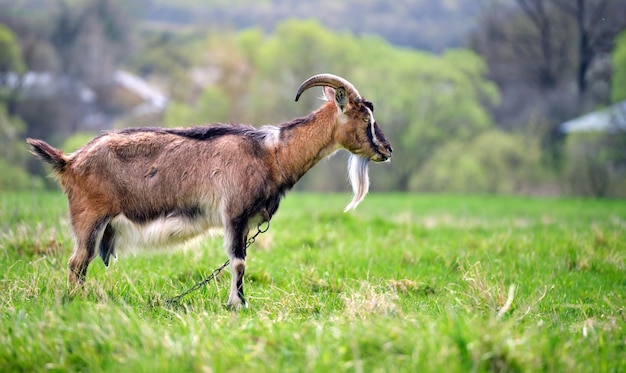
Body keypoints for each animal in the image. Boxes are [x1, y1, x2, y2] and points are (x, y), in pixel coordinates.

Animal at [29, 73, 392, 308]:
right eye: (366, 118)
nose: (387, 150)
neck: (271, 153)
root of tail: (69, 161)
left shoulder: (242, 220)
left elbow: (238, 260)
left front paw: (237, 302)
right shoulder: (234, 213)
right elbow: (238, 261)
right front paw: (238, 305)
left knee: (81, 263)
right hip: (89, 218)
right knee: (77, 263)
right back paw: (77, 302)